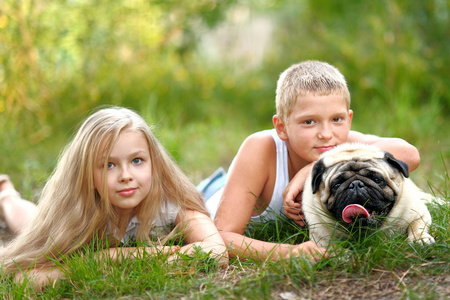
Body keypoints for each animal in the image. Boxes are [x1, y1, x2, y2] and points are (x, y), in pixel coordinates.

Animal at [302, 144, 436, 247]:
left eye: (377, 179)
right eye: (337, 185)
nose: (355, 184)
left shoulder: (418, 213)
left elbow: (416, 225)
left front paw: (419, 239)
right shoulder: (320, 237)